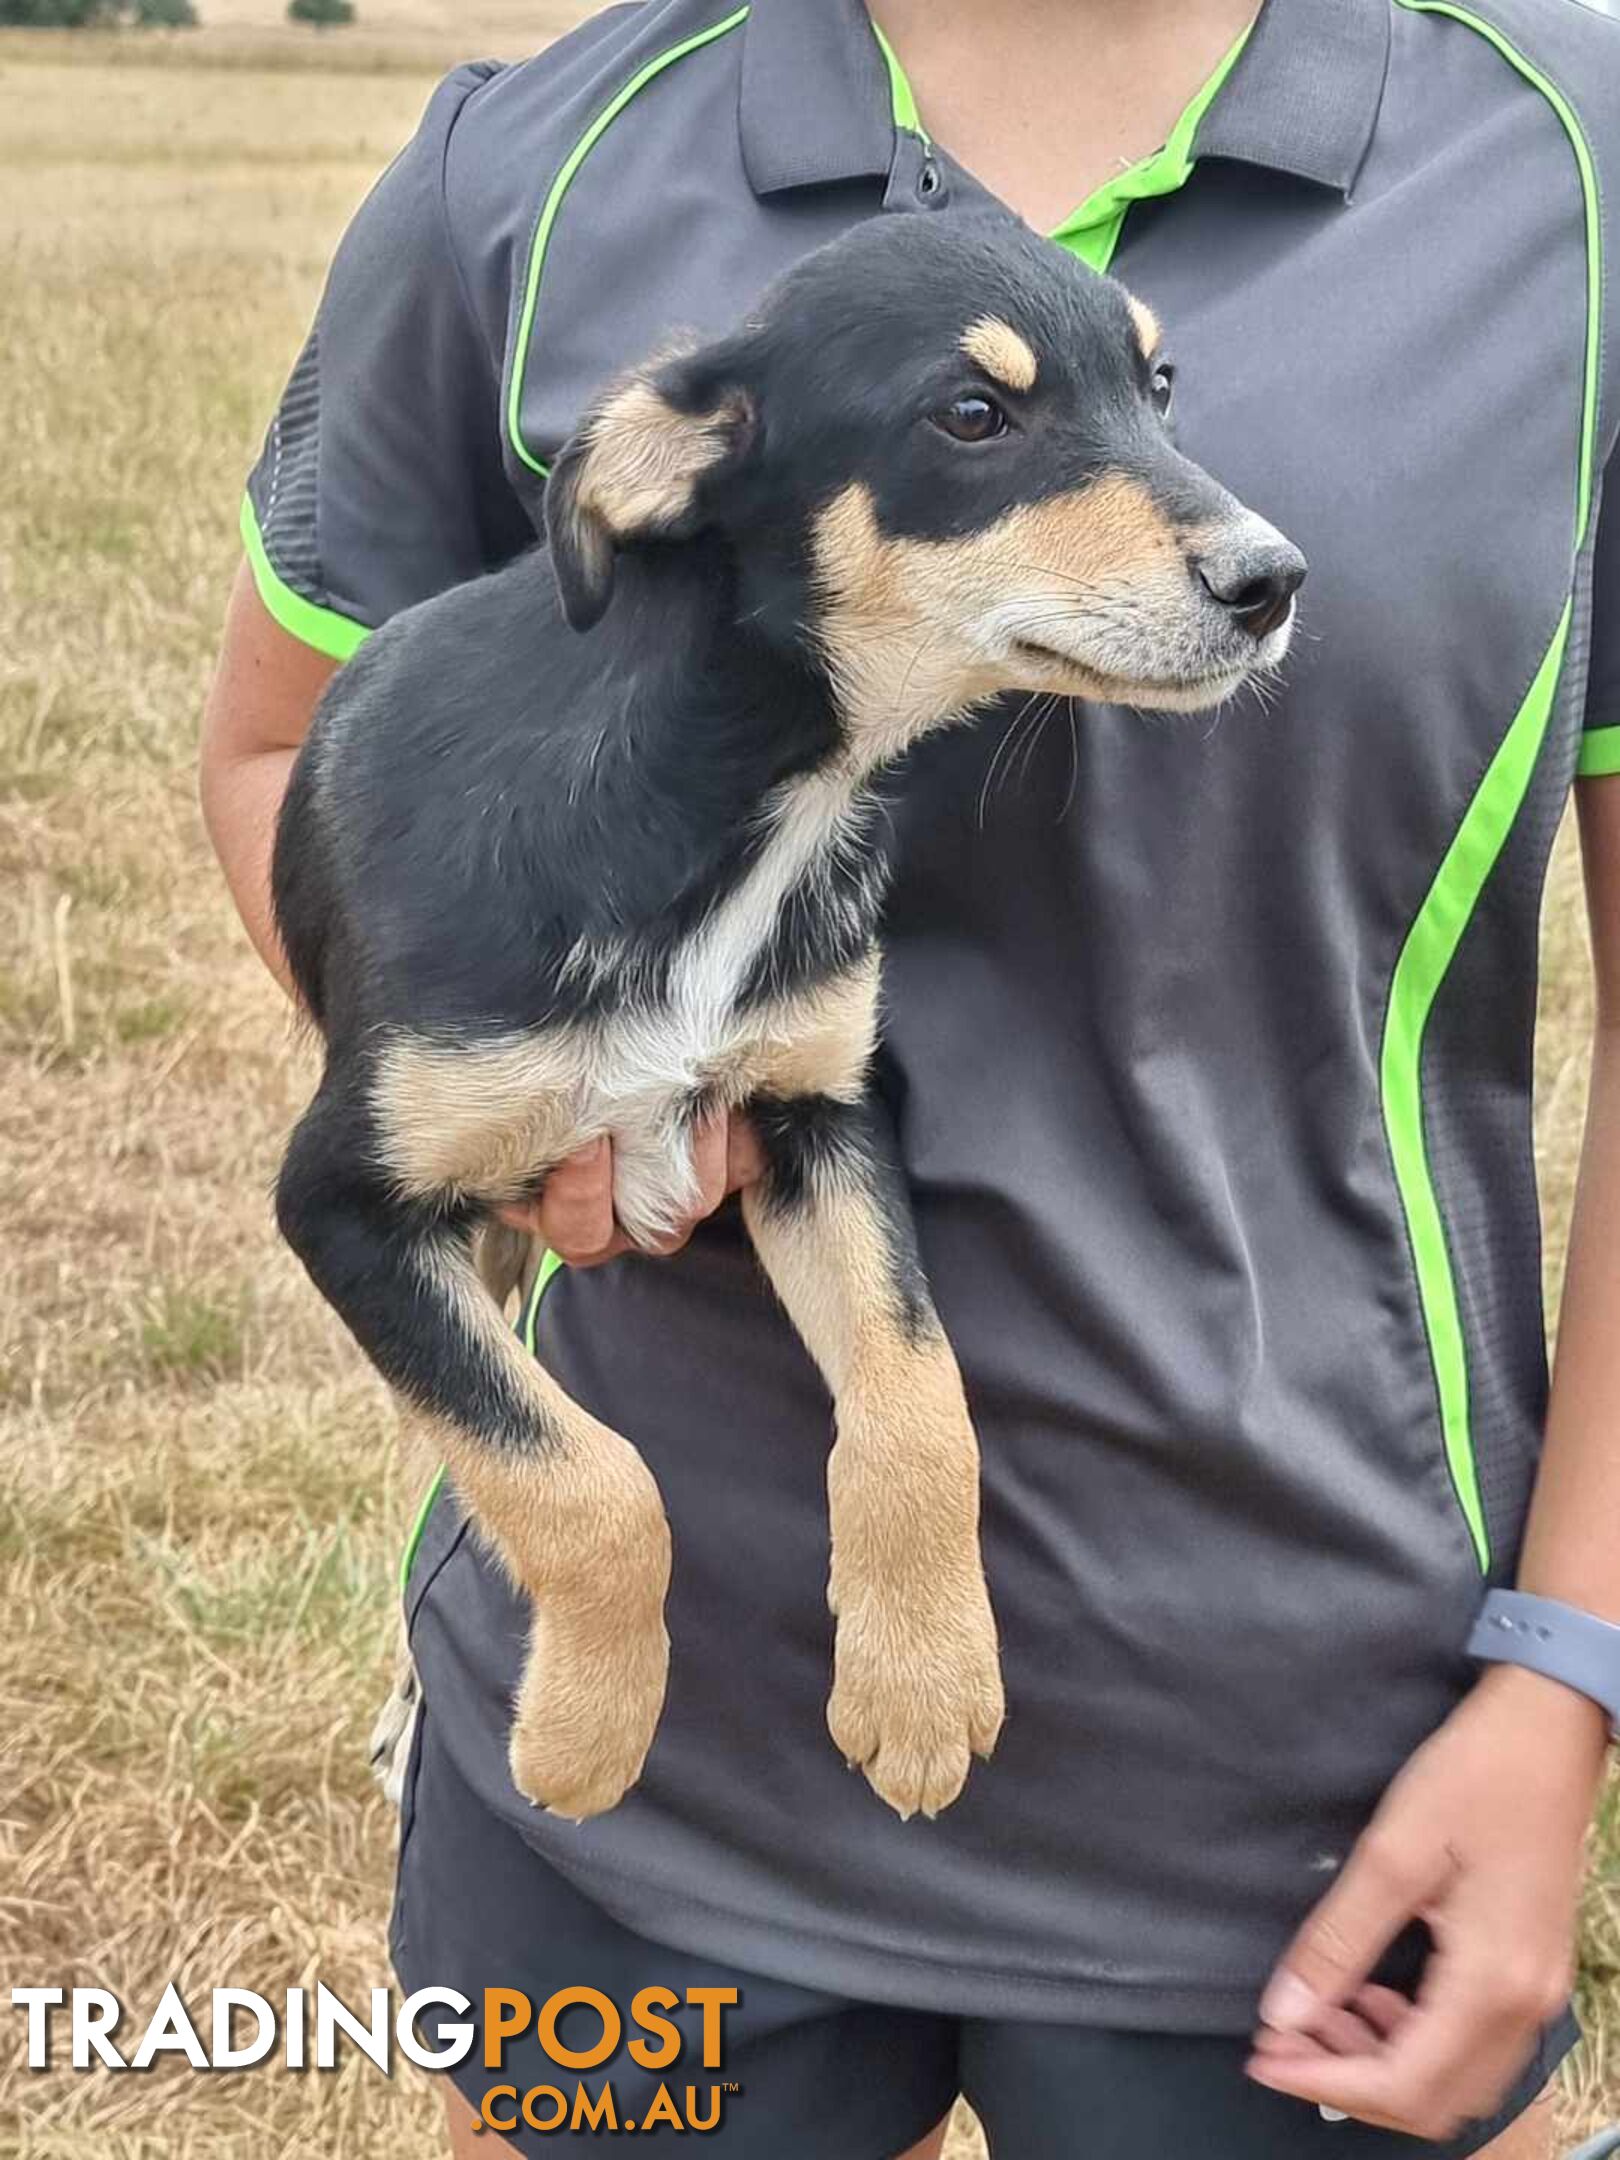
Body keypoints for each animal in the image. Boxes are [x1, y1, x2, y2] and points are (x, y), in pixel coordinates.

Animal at [270, 210, 1304, 1823]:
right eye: (972, 415)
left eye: (1160, 385)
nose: (1274, 581)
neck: (741, 791)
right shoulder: (341, 1204)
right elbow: (579, 1479)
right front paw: (588, 1728)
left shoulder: (821, 1111)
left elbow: (919, 1389)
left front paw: (921, 1682)